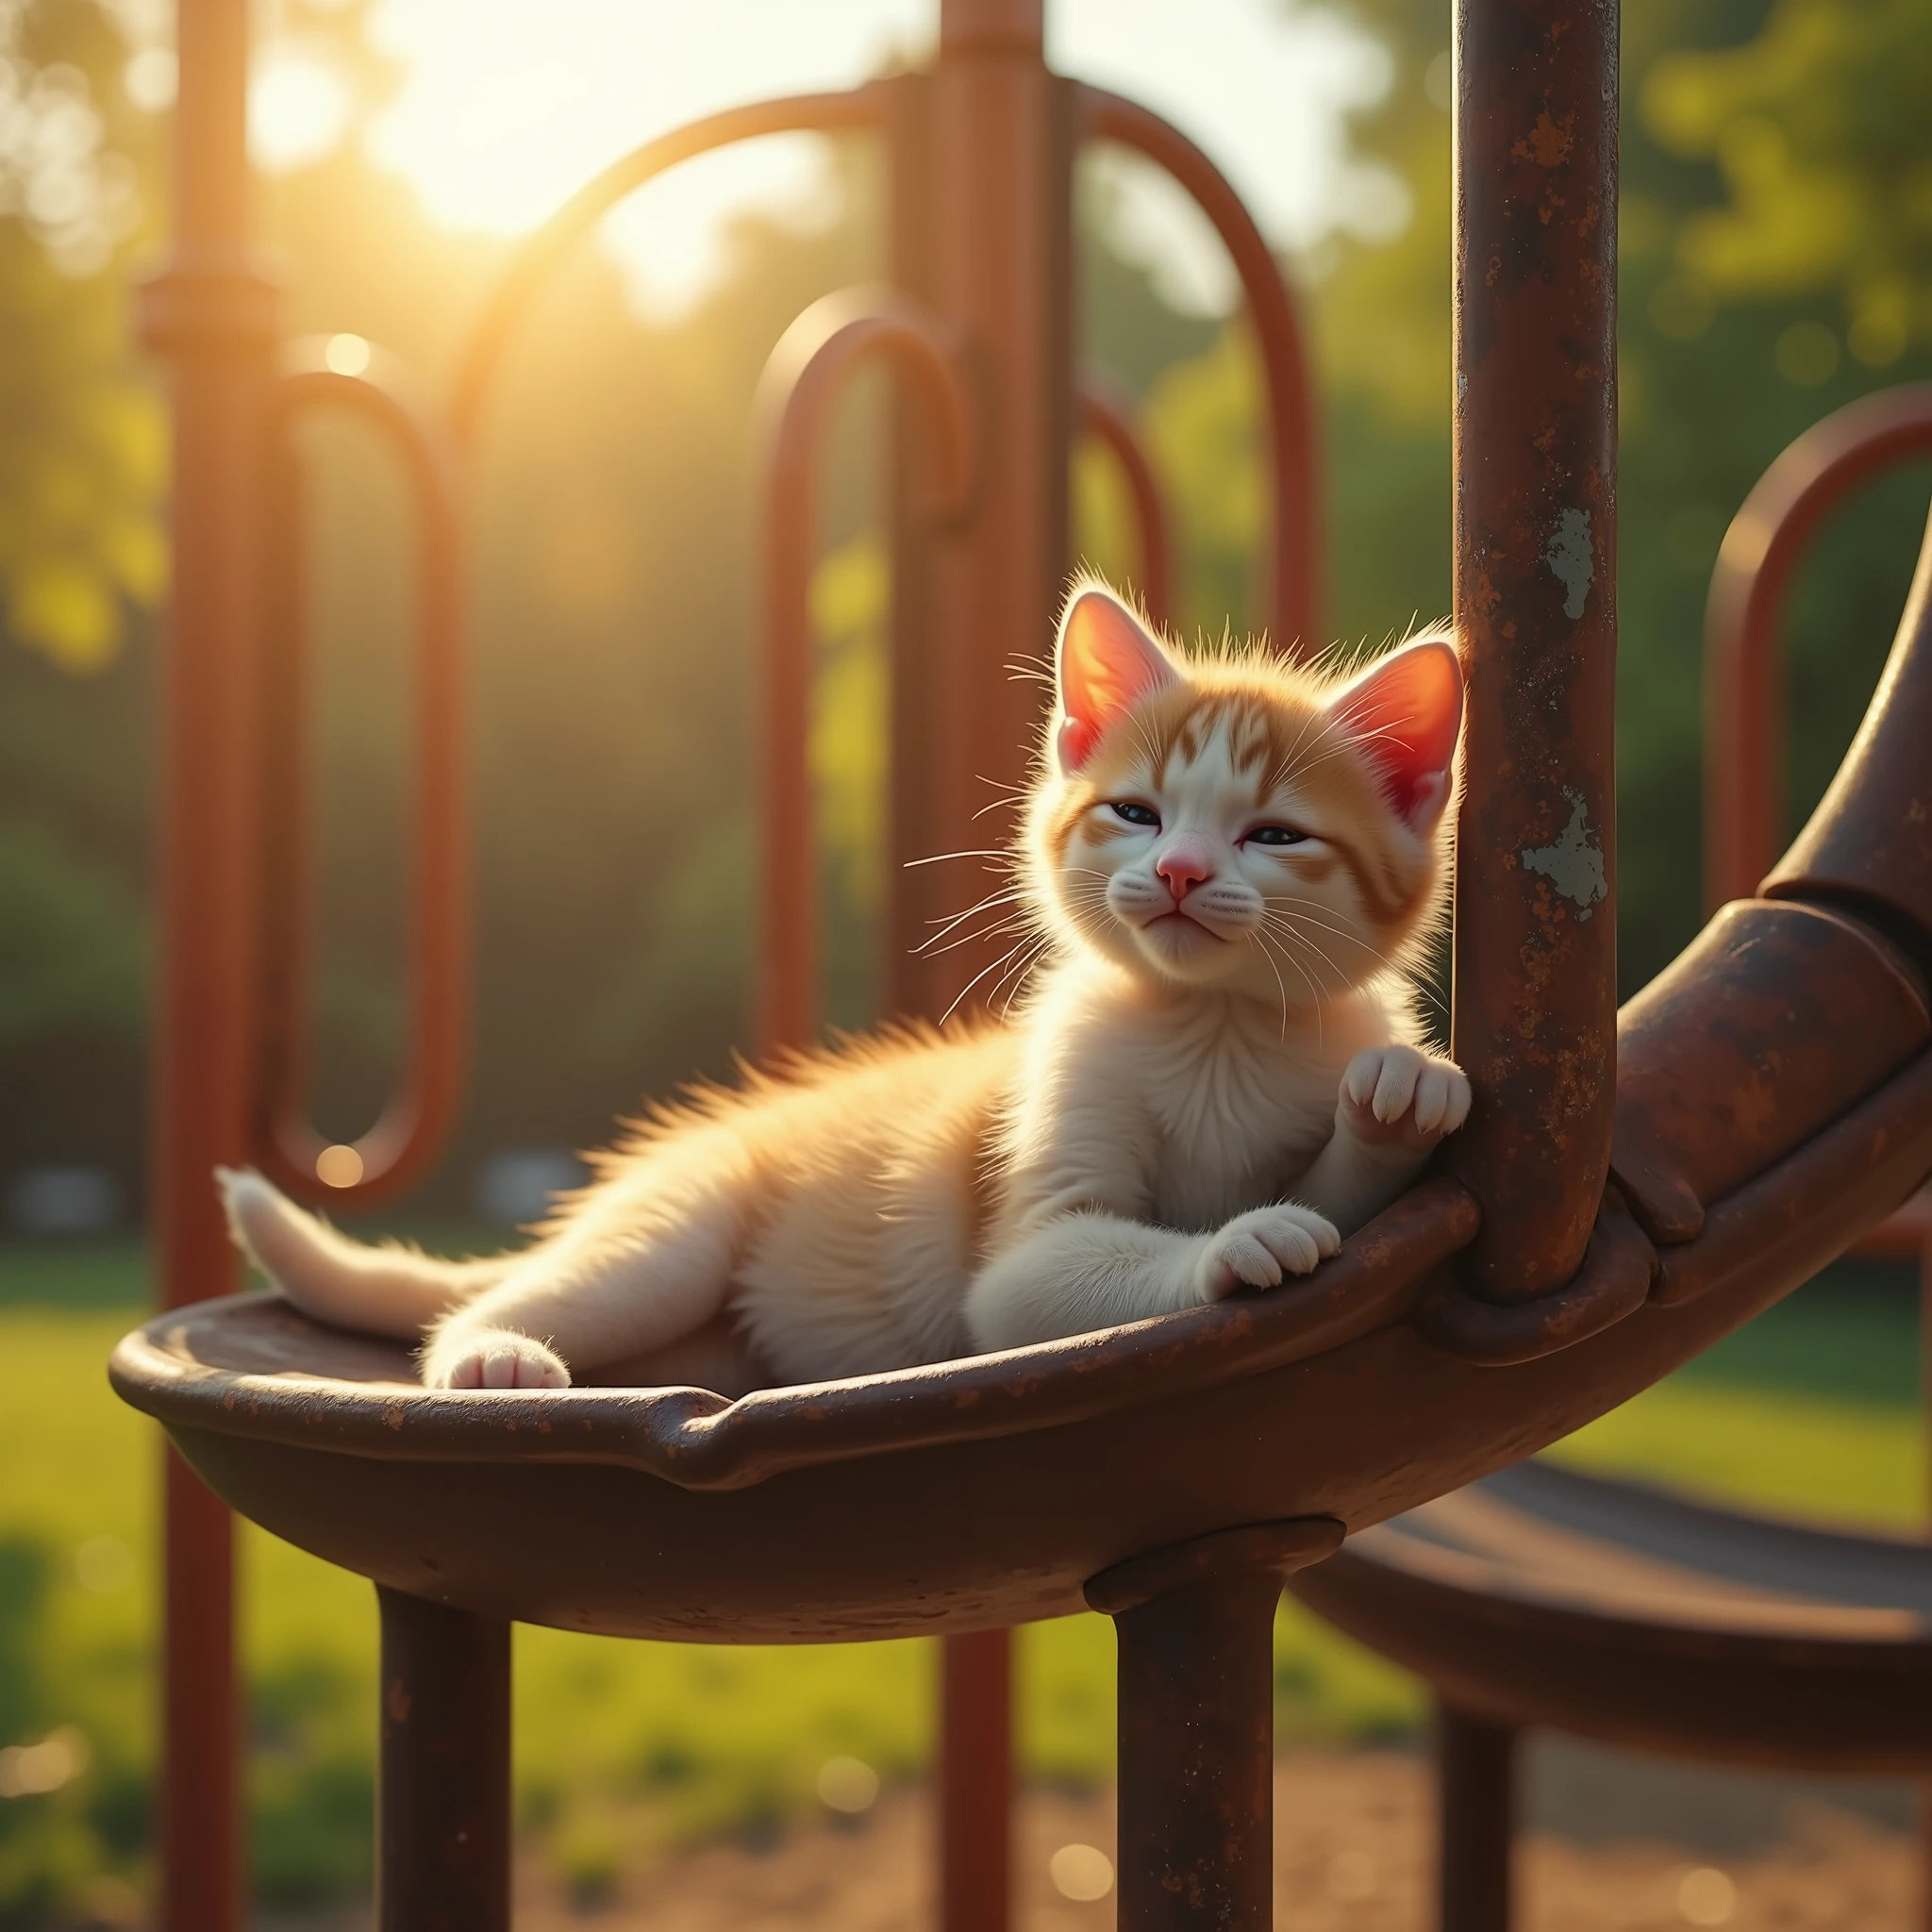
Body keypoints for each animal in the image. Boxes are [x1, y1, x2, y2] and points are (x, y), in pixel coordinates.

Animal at [219, 579, 1460, 1398]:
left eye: (1274, 834)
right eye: (1135, 811)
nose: (1179, 872)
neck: (1210, 1026)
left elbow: (1348, 1210)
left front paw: (1395, 1098)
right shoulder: (1026, 1224)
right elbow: (1050, 1268)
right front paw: (1238, 1239)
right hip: (671, 1241)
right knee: (523, 1297)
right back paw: (494, 1353)